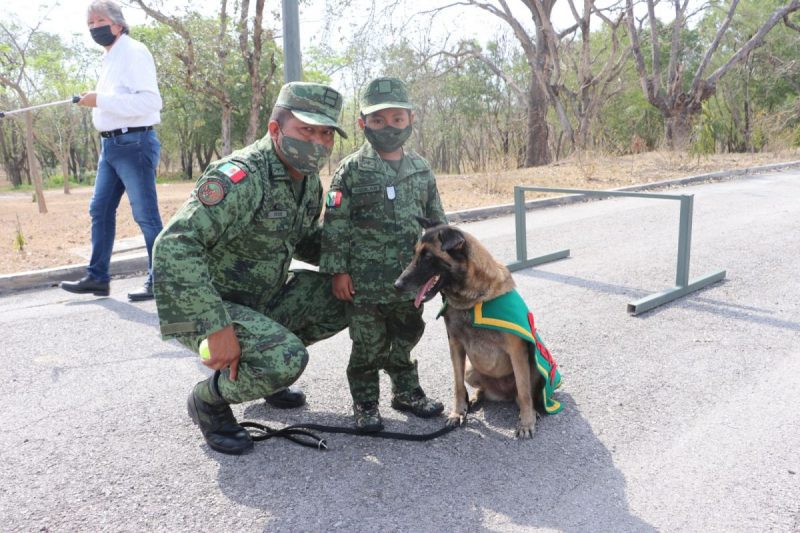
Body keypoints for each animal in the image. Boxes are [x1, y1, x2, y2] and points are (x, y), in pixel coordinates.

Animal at [396, 216, 564, 436]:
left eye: (428, 256)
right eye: (415, 254)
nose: (397, 285)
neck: (472, 301)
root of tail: (503, 393)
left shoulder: (517, 351)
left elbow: (524, 390)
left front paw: (527, 422)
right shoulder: (456, 346)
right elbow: (458, 385)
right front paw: (458, 412)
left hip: (533, 364)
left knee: (521, 394)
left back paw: (529, 410)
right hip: (471, 368)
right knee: (482, 389)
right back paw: (475, 398)